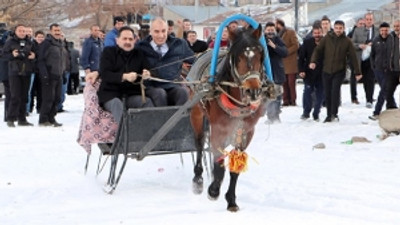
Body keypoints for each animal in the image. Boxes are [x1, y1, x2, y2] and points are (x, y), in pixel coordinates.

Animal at [190, 24, 272, 211]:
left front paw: (231, 199)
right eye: (239, 57)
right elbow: (219, 162)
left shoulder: (246, 131)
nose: (253, 91)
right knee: (199, 143)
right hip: (196, 113)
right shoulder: (218, 128)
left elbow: (236, 164)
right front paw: (214, 190)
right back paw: (198, 179)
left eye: (260, 54)